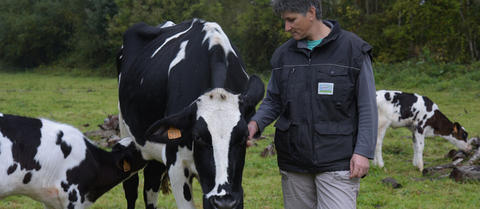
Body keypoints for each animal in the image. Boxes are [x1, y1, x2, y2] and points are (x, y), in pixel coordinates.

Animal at [117, 18, 264, 209]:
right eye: (198, 137)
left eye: (244, 137)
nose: (223, 201)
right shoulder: (176, 164)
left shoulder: (235, 188)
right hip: (127, 136)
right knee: (131, 187)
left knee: (151, 182)